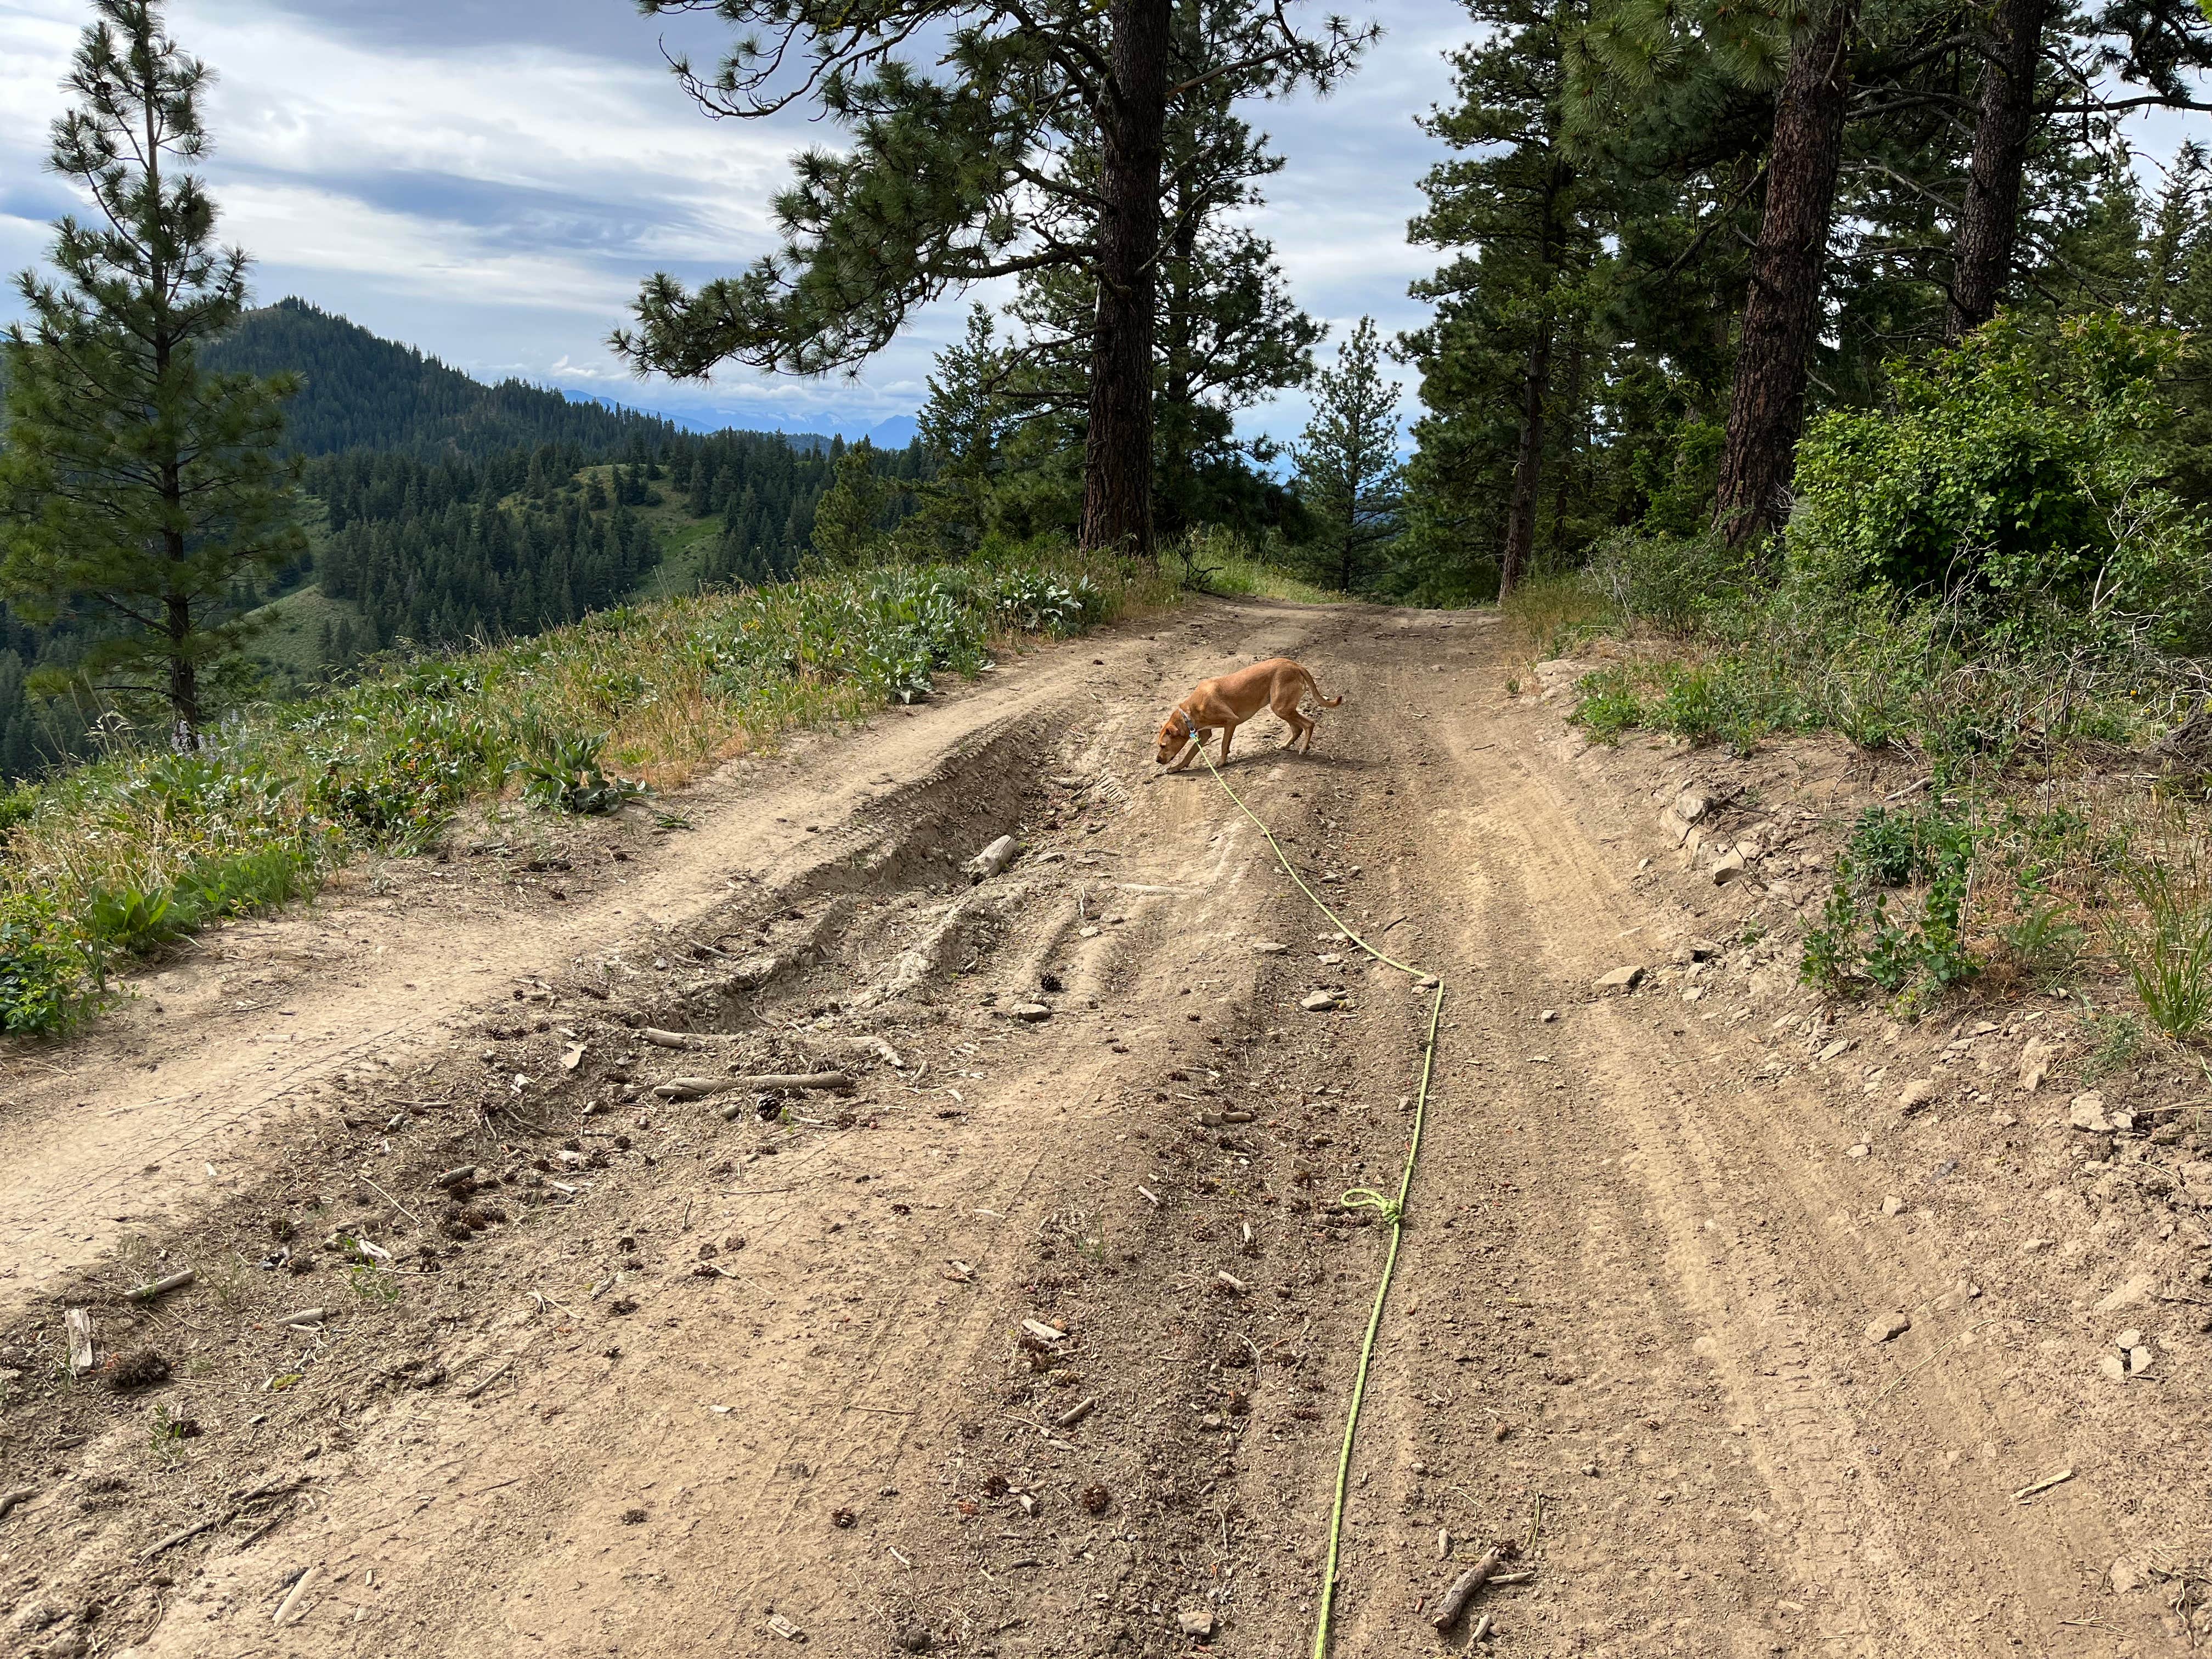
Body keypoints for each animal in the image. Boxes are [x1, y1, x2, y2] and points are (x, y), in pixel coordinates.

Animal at [1167, 654, 1336, 774]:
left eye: (1163, 746)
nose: (1160, 760)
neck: (1189, 713)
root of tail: (1296, 665)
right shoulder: (1204, 735)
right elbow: (1189, 755)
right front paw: (1176, 768)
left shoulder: (1231, 722)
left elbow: (1223, 745)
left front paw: (1221, 762)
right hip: (1284, 709)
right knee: (1297, 729)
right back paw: (1285, 745)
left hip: (1281, 708)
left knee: (1309, 724)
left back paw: (1304, 748)